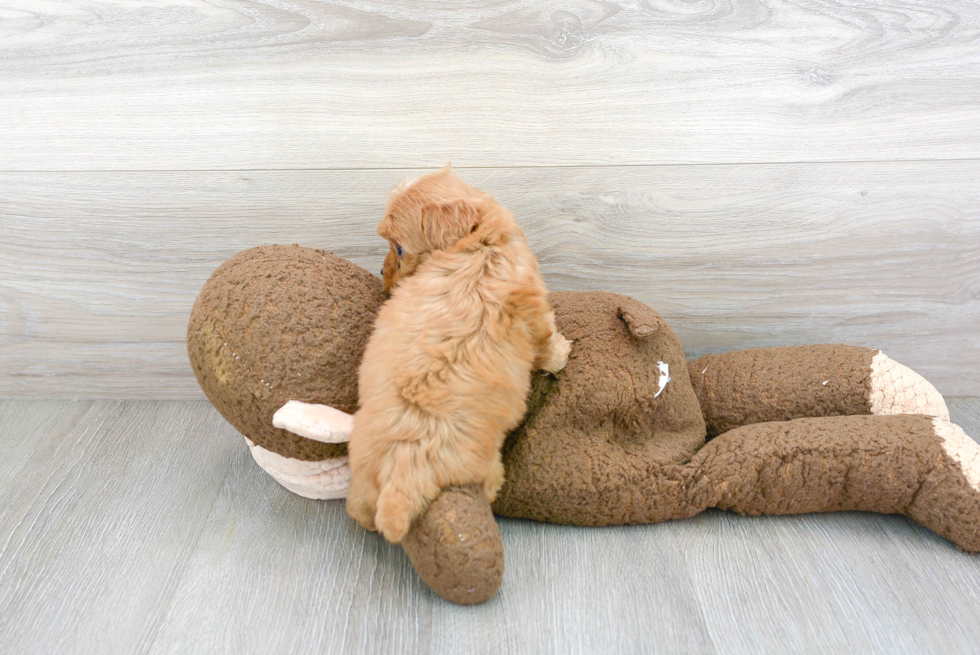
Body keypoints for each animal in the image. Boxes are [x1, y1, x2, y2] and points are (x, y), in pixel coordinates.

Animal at [346, 168, 572, 544]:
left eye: (399, 249)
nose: (381, 273)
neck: (475, 245)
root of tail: (403, 471)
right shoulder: (535, 310)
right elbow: (546, 342)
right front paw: (562, 354)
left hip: (363, 470)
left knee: (360, 508)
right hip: (481, 467)